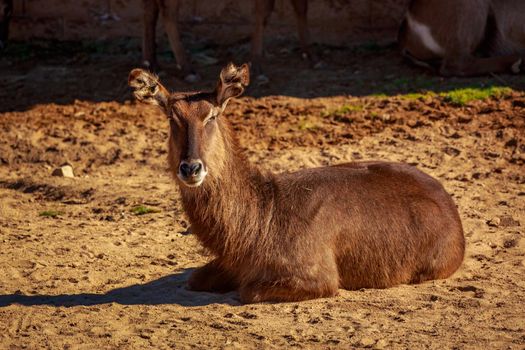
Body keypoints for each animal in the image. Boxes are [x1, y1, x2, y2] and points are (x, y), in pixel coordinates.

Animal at [129, 63, 464, 304]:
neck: (259, 220)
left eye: (211, 116)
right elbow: (194, 279)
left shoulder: (318, 277)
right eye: (172, 117)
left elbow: (247, 291)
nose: (191, 167)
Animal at [139, 0, 312, 80]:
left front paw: (308, 53)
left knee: (150, 10)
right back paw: (187, 68)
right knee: (167, 11)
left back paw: (152, 64)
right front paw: (256, 62)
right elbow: (263, 11)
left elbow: (301, 6)